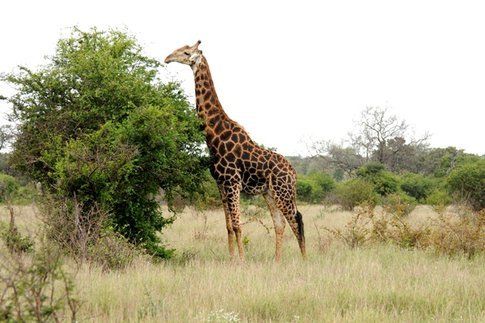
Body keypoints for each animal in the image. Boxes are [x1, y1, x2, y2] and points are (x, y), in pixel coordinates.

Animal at [164, 41, 304, 264]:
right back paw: (276, 261)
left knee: (297, 219)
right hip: (270, 193)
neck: (213, 135)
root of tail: (293, 172)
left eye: (186, 52)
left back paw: (304, 259)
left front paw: (242, 261)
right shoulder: (221, 184)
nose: (167, 58)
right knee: (280, 223)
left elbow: (238, 225)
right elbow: (229, 226)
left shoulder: (232, 182)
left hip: (284, 191)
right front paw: (231, 259)